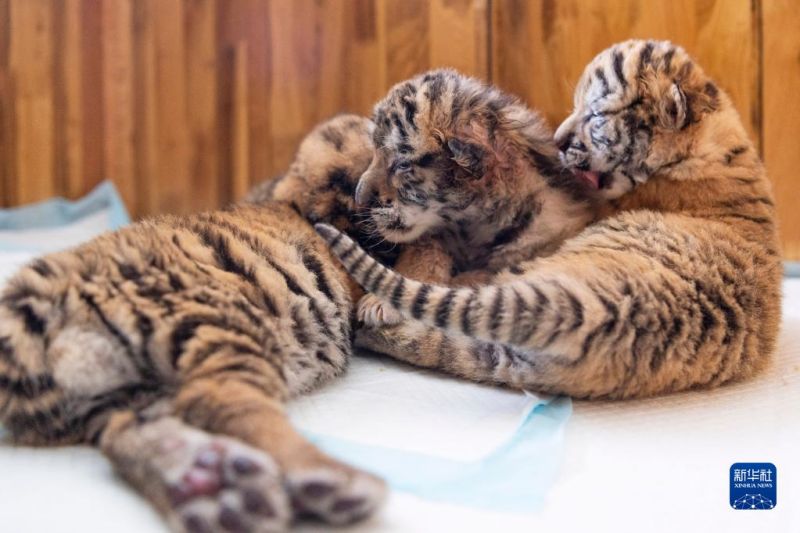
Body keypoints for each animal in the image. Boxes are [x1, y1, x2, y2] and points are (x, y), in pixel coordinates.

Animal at [0, 115, 391, 533]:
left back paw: (209, 488)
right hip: (218, 325)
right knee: (218, 400)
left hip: (114, 395)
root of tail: (41, 293)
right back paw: (330, 480)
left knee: (127, 431)